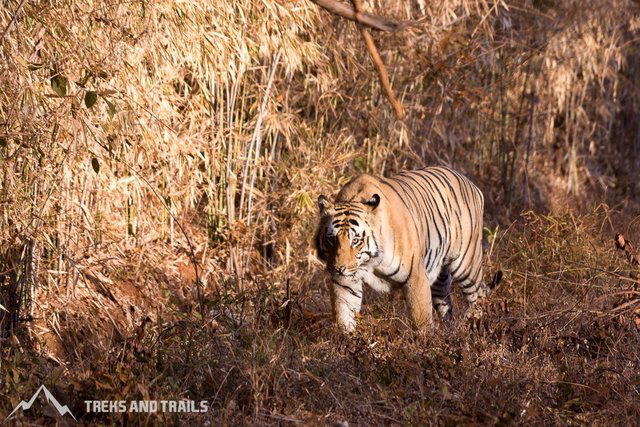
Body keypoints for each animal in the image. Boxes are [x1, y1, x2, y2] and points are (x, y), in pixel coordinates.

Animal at [314, 166, 501, 332]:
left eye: (356, 241)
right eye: (331, 239)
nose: (339, 269)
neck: (369, 262)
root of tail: (471, 183)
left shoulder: (415, 276)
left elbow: (421, 320)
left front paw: (425, 345)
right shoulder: (345, 282)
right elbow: (343, 315)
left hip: (466, 264)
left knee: (478, 294)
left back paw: (474, 326)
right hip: (440, 277)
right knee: (446, 305)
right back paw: (451, 334)